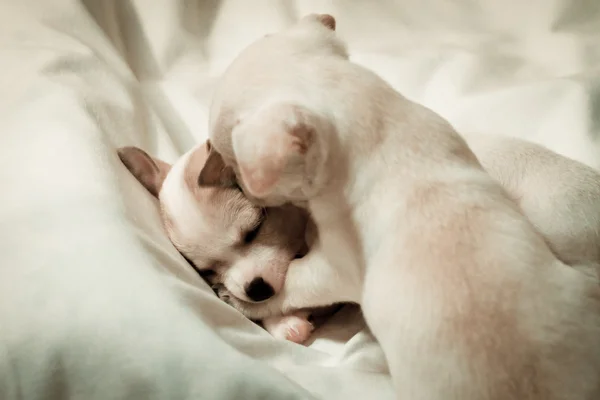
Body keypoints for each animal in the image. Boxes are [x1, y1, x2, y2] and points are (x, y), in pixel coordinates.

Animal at [203, 14, 600, 400]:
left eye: (233, 159)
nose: (228, 177)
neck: (377, 129)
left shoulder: (333, 267)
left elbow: (294, 282)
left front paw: (245, 301)